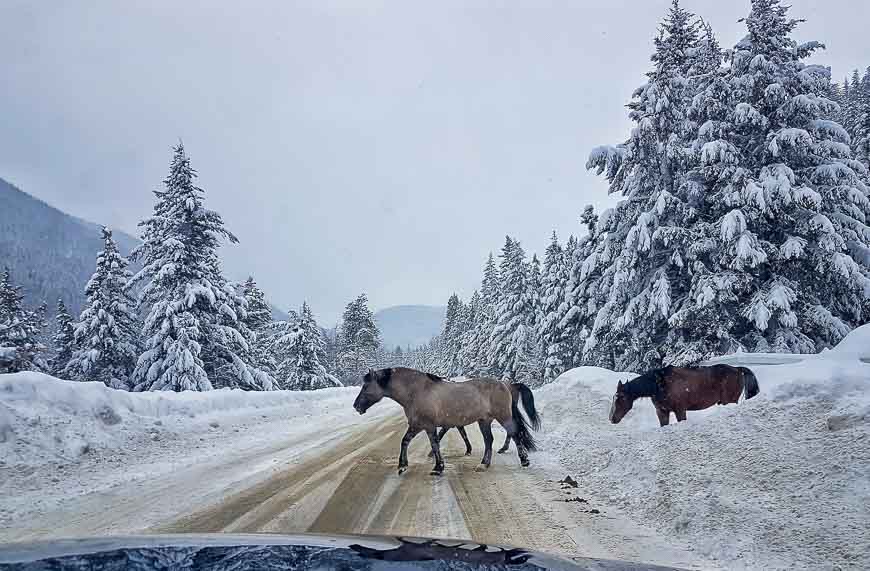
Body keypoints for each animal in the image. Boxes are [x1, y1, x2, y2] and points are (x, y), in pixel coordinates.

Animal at [350, 368, 536, 476]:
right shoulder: (418, 425)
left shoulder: (428, 426)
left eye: (366, 386)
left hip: (503, 417)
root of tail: (506, 385)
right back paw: (484, 465)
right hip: (484, 421)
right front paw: (403, 466)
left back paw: (524, 461)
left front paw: (437, 468)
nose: (356, 406)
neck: (417, 391)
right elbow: (407, 441)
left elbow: (433, 444)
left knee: (515, 434)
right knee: (489, 440)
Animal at [608, 364, 760, 426]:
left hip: (730, 401)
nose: (612, 418)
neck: (659, 385)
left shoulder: (680, 410)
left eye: (620, 398)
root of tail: (737, 369)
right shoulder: (662, 412)